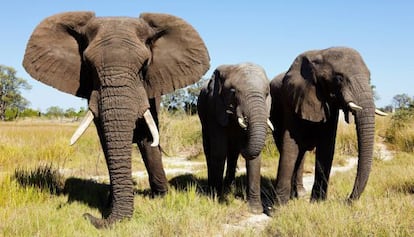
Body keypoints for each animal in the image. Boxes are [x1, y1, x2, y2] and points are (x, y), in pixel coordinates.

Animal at [22, 11, 210, 228]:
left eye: (145, 65)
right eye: (88, 65)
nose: (87, 215)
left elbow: (148, 139)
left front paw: (162, 197)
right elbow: (106, 140)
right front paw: (109, 203)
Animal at [198, 62, 274, 214]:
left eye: (267, 94)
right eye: (233, 92)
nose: (243, 141)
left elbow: (254, 157)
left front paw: (255, 210)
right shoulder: (214, 107)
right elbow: (219, 151)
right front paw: (216, 200)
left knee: (233, 154)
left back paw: (228, 188)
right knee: (209, 150)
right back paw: (212, 189)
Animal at [270, 47, 386, 205]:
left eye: (369, 78)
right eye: (339, 78)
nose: (348, 200)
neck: (320, 53)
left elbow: (327, 146)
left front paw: (317, 203)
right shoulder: (292, 98)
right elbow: (290, 145)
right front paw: (278, 206)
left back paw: (299, 195)